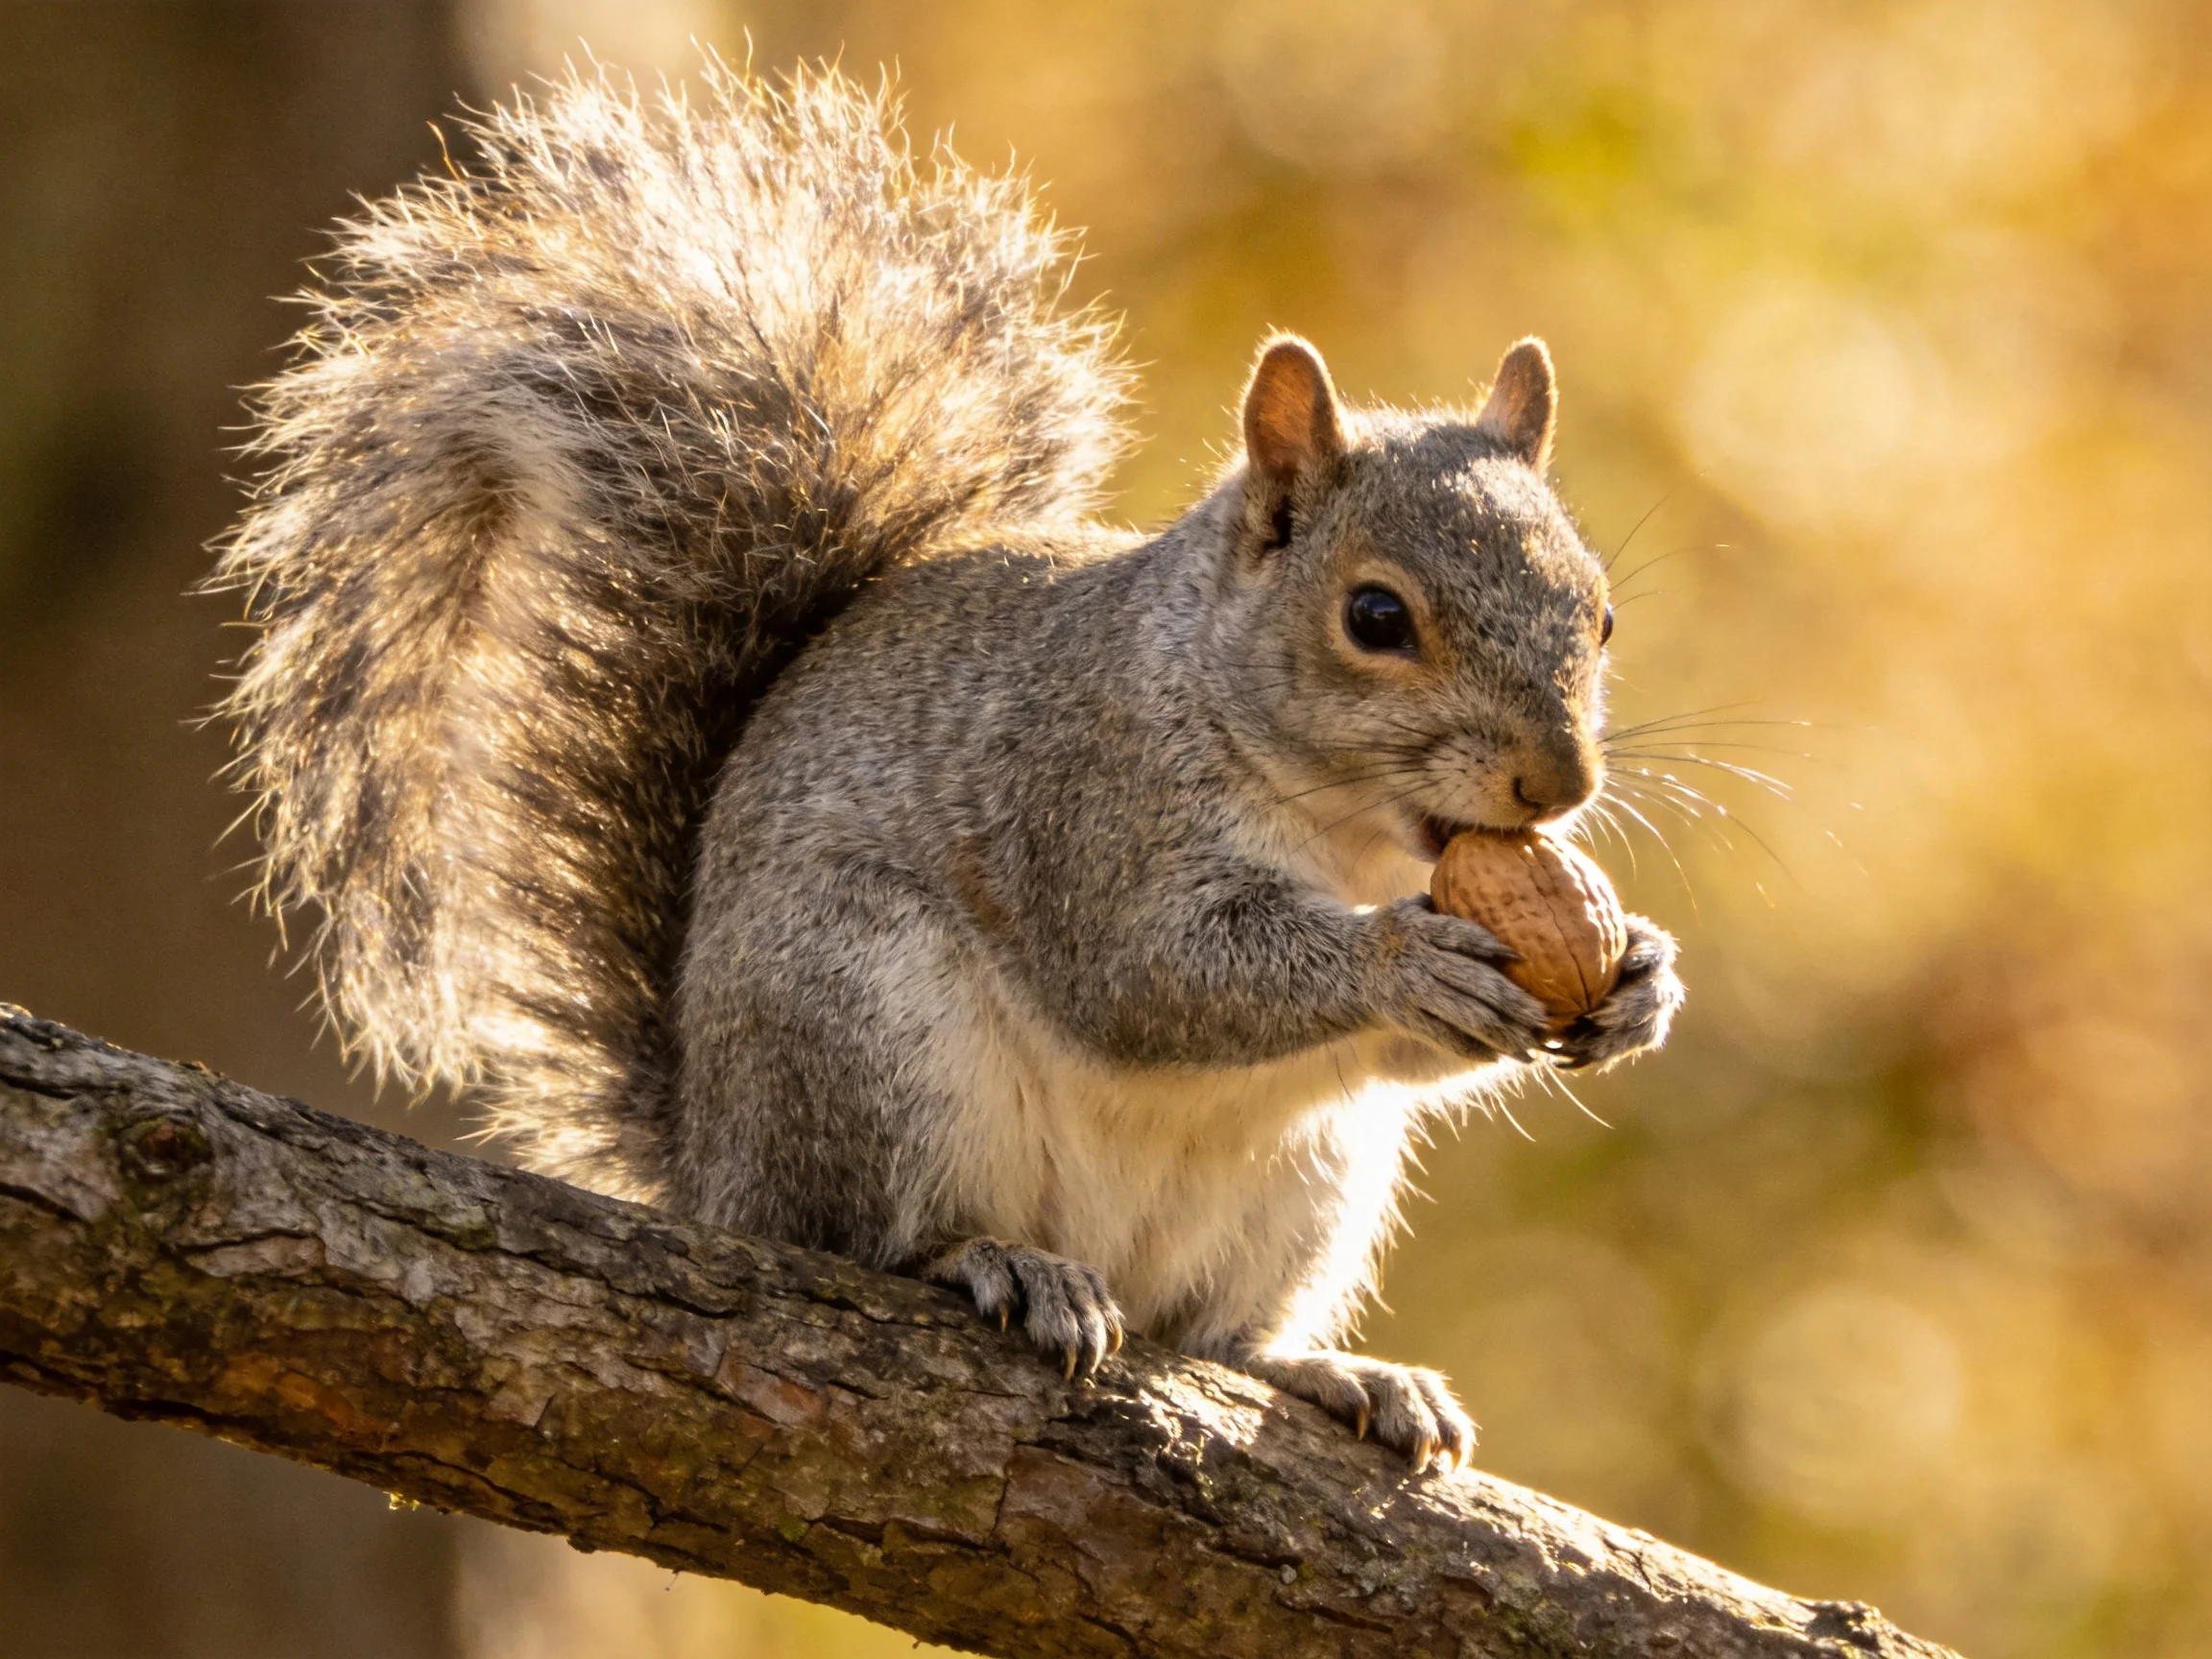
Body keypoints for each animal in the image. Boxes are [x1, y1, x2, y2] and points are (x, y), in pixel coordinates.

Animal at [210, 63, 1683, 1472]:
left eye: (1606, 615)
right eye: (1375, 617)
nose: (1558, 787)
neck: (1350, 834)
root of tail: (715, 1167)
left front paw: (1640, 983)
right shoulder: (1080, 798)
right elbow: (1154, 973)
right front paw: (1403, 959)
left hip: (1309, 1181)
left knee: (1215, 1338)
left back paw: (1328, 1372)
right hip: (868, 1026)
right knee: (867, 1241)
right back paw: (994, 1261)